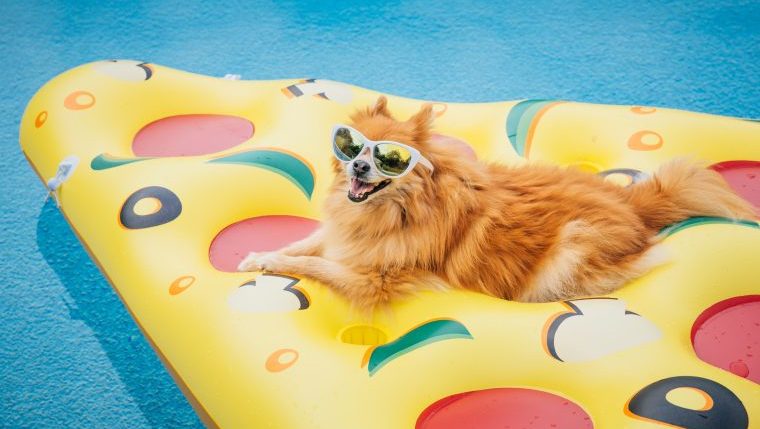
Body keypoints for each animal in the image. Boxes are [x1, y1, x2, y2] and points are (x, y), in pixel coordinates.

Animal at [236, 96, 756, 310]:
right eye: (351, 147)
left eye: (391, 160)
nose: (360, 167)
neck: (395, 212)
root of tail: (633, 204)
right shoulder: (343, 236)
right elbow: (303, 245)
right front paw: (259, 255)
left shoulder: (378, 280)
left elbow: (314, 264)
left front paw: (276, 263)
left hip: (572, 245)